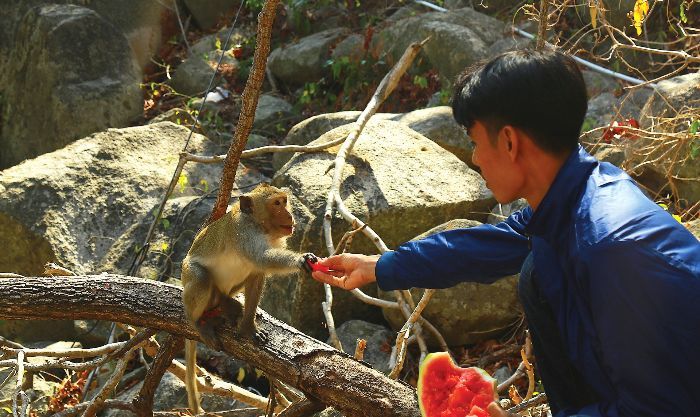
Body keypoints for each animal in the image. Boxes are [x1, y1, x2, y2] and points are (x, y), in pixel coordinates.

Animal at [180, 184, 318, 412]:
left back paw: (227, 306)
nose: (289, 214)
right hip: (189, 274)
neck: (258, 225)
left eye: (284, 201)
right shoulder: (244, 233)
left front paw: (247, 327)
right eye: (276, 204)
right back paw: (198, 322)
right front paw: (301, 260)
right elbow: (262, 258)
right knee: (201, 278)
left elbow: (257, 274)